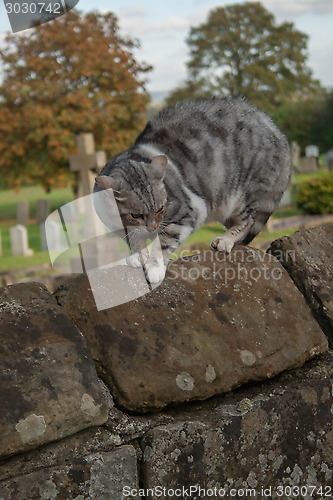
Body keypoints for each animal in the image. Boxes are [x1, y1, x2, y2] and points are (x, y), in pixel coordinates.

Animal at [92, 98, 290, 282]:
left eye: (161, 209)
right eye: (135, 215)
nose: (152, 227)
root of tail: (279, 133)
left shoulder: (188, 212)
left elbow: (163, 242)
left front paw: (154, 267)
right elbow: (132, 238)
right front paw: (136, 255)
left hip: (244, 195)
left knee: (247, 222)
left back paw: (225, 240)